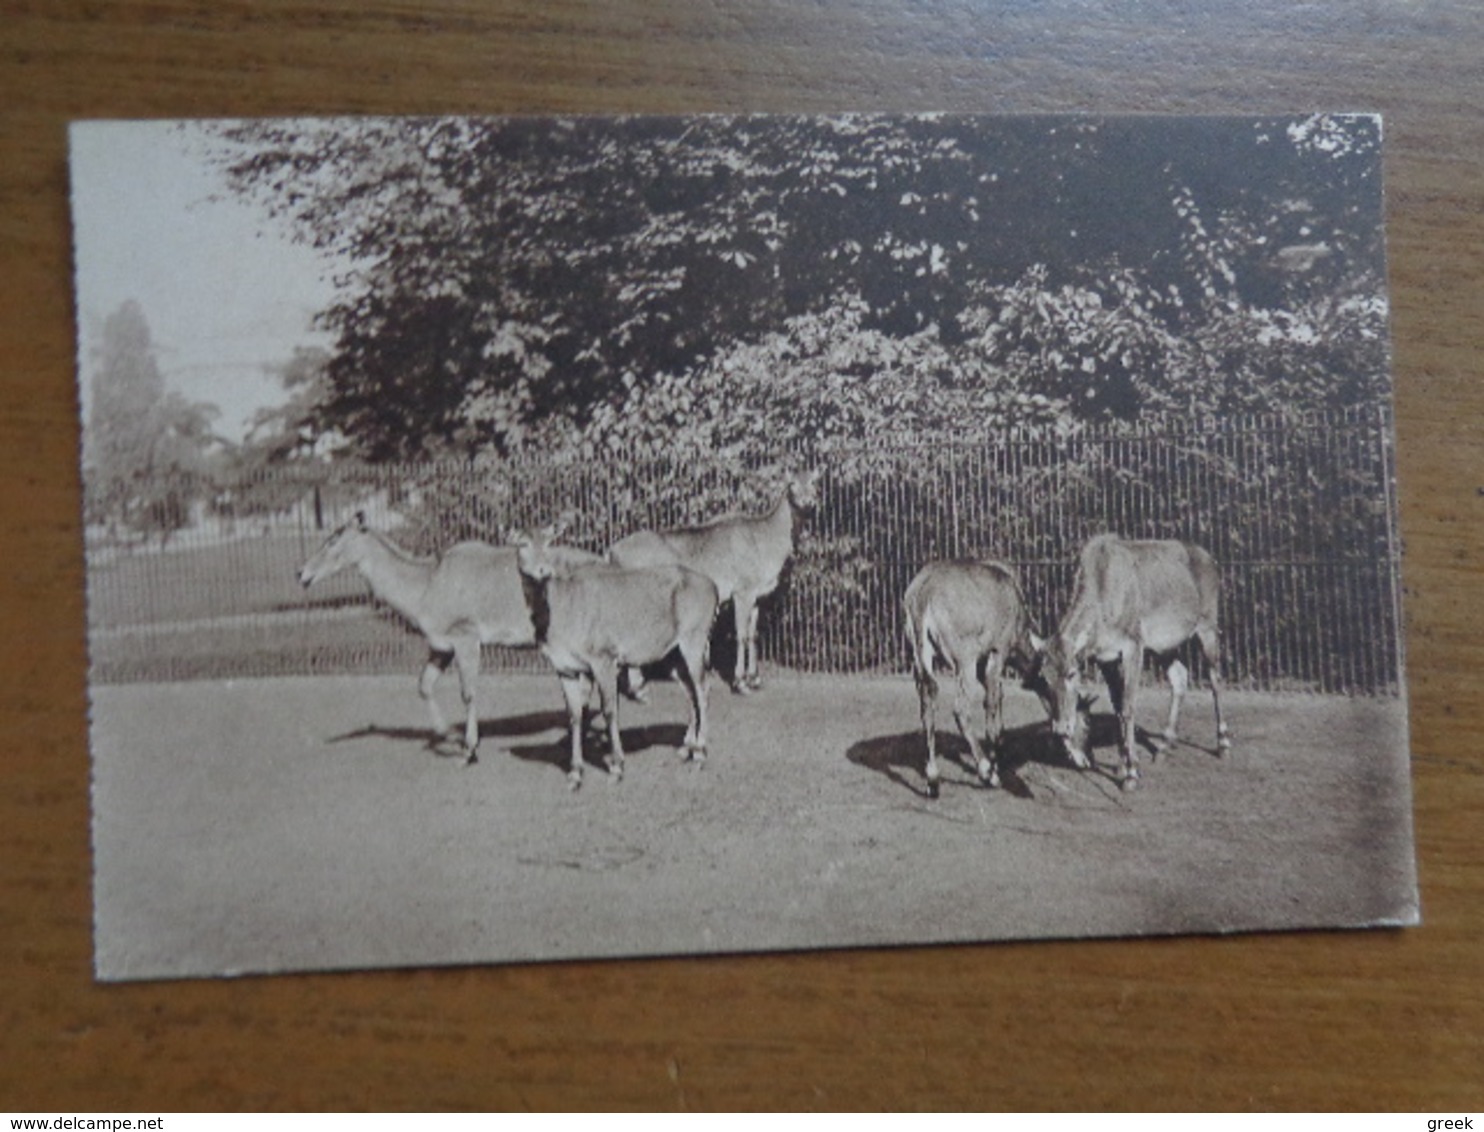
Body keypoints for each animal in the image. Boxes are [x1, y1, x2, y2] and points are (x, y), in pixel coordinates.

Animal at [298, 510, 599, 759]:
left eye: (333, 540)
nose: (301, 572)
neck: (426, 586)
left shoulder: (466, 636)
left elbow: (468, 692)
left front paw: (470, 747)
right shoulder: (441, 645)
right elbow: (424, 684)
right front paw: (446, 733)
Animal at [510, 528, 718, 795]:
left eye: (548, 543)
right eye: (522, 543)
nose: (543, 570)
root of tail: (714, 588)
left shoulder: (604, 657)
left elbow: (609, 710)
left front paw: (617, 767)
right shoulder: (565, 668)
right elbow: (575, 715)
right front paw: (575, 774)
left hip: (695, 637)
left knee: (703, 688)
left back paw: (701, 752)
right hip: (672, 653)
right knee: (690, 690)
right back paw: (685, 749)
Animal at [611, 465, 831, 694]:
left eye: (814, 482)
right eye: (792, 483)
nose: (808, 501)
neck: (767, 543)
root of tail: (611, 553)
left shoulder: (757, 595)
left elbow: (753, 635)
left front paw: (755, 678)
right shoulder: (742, 589)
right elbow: (741, 634)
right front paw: (740, 682)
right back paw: (636, 686)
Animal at [902, 557, 1056, 795]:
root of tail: (923, 592)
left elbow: (998, 699)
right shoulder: (996, 653)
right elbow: (991, 702)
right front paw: (994, 767)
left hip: (921, 658)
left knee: (927, 701)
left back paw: (933, 780)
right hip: (965, 661)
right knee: (961, 709)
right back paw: (986, 773)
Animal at [1038, 537, 1234, 795]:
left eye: (1072, 674)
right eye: (1045, 677)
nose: (1061, 728)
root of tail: (1211, 560)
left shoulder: (1133, 646)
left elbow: (1129, 707)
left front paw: (1131, 774)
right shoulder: (1105, 658)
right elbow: (1118, 706)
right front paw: (1123, 763)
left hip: (1207, 626)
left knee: (1215, 679)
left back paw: (1223, 744)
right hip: (1165, 646)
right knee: (1180, 677)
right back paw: (1163, 746)